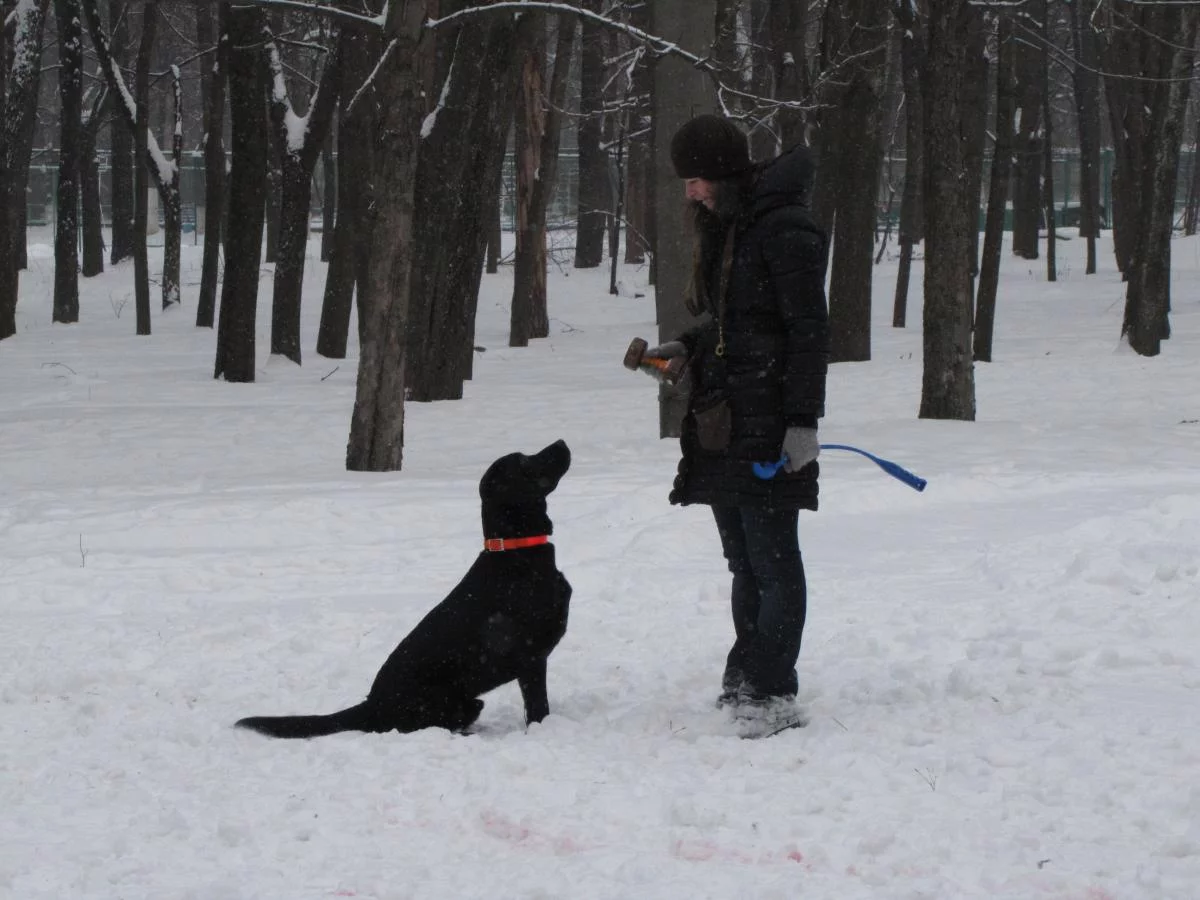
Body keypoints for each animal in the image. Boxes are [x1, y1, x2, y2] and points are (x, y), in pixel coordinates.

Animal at [235, 439, 572, 739]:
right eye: (525, 461)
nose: (561, 442)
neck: (517, 552)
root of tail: (370, 704)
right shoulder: (531, 657)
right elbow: (538, 708)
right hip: (447, 701)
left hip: (469, 702)